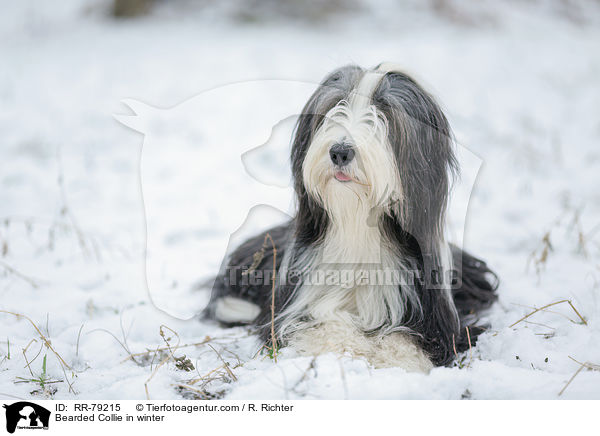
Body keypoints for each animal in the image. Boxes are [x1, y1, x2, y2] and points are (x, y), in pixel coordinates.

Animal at [206, 63, 496, 372]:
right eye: (336, 105)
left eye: (384, 112)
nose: (340, 151)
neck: (357, 226)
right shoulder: (294, 305)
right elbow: (323, 322)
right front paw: (347, 347)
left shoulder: (436, 317)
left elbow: (413, 338)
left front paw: (398, 358)